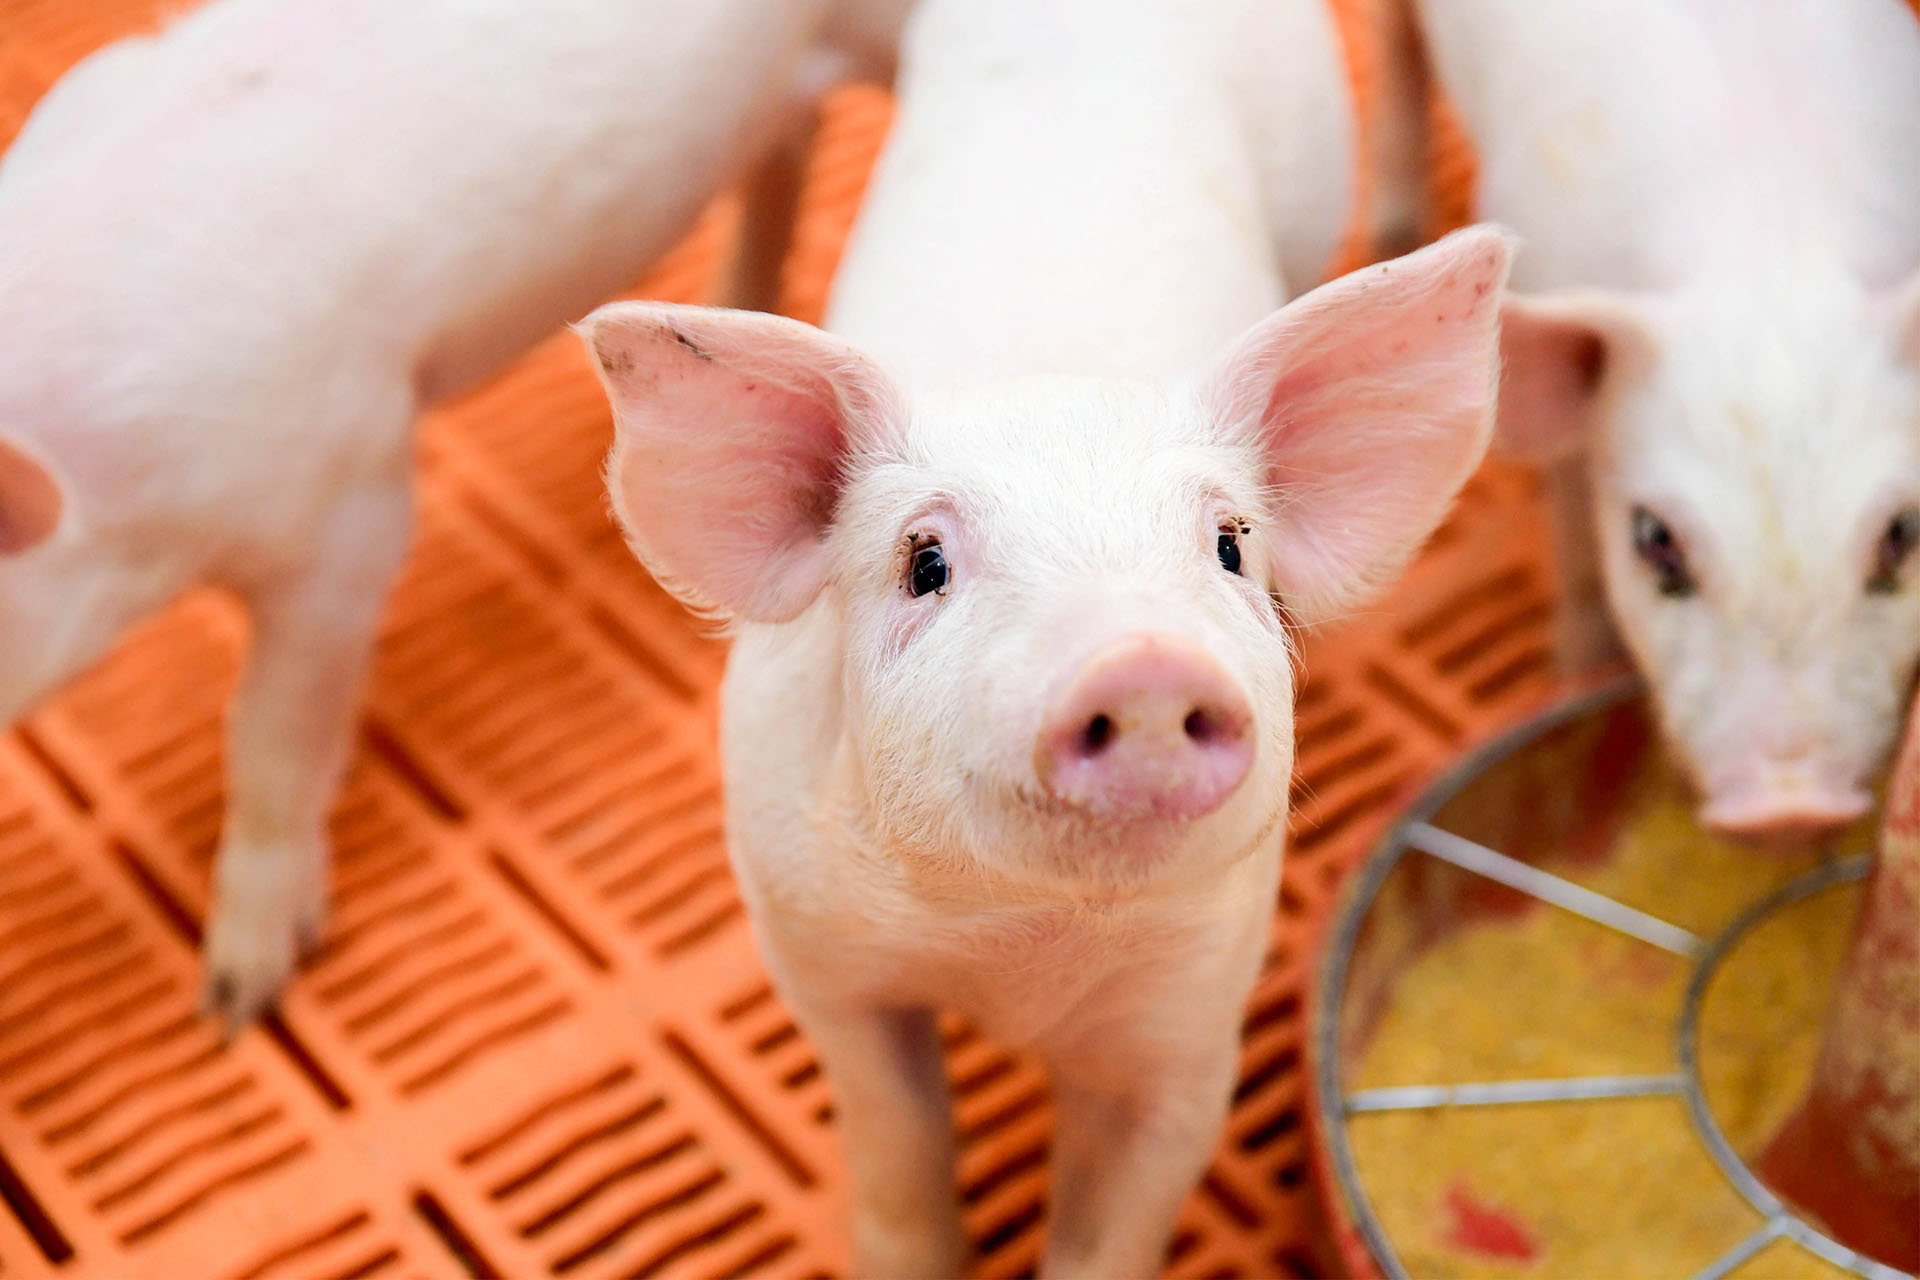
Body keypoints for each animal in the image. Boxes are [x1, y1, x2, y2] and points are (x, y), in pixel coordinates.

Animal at [576, 0, 1505, 1274]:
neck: (1013, 951)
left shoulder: (1196, 1018)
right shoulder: (814, 953)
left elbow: (1115, 1216)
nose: (1143, 659)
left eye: (1230, 544)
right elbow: (899, 1145)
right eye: (924, 562)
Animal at [1397, 0, 1920, 840]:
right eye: (1654, 542)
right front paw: (1577, 670)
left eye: (1901, 535)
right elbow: (1577, 553)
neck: (1763, 256)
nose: (1788, 803)